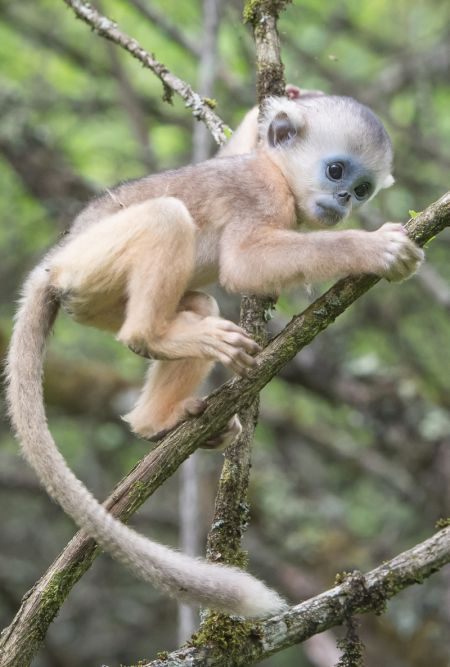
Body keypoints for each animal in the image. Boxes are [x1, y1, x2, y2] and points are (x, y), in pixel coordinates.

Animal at [6, 91, 426, 620]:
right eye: (336, 172)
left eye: (363, 188)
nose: (346, 201)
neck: (277, 174)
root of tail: (51, 267)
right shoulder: (262, 195)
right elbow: (244, 264)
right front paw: (373, 249)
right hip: (91, 263)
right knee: (166, 220)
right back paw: (155, 338)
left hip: (101, 299)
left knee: (199, 305)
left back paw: (159, 420)